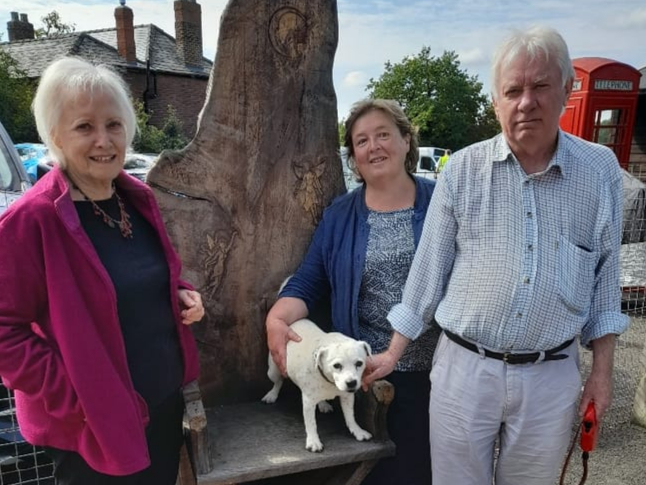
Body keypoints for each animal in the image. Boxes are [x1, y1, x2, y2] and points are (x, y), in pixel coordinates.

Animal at [262, 318, 374, 450]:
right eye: (336, 365)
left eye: (359, 363)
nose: (351, 383)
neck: (329, 381)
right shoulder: (308, 402)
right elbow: (311, 423)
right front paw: (313, 441)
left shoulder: (347, 397)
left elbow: (350, 416)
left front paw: (357, 431)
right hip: (273, 371)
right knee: (278, 382)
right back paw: (272, 395)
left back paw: (322, 404)